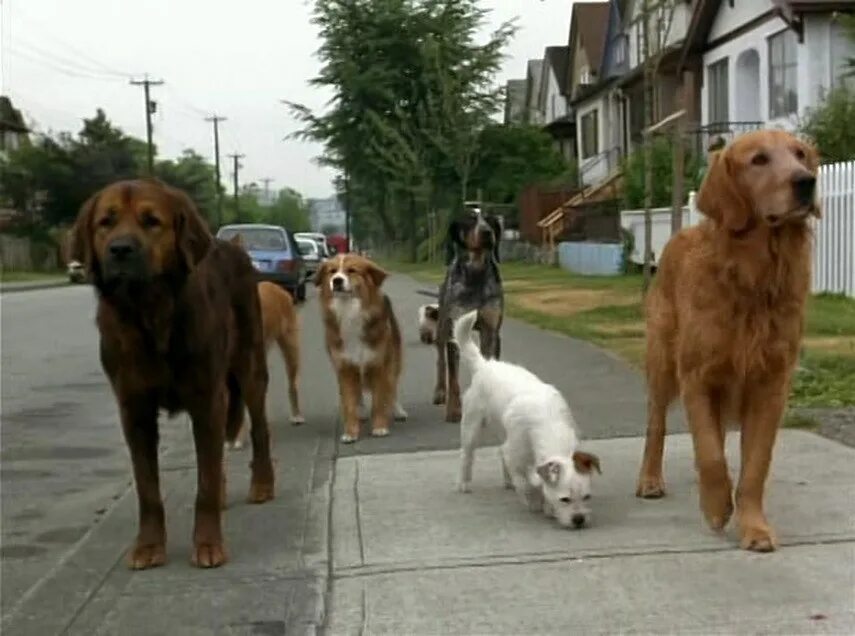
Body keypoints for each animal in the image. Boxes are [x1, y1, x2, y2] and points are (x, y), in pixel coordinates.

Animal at [73, 176, 276, 568]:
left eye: (152, 221)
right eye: (106, 222)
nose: (120, 250)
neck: (149, 313)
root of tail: (235, 246)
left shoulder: (206, 399)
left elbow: (205, 483)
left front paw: (209, 544)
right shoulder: (134, 410)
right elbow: (148, 489)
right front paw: (149, 546)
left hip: (249, 367)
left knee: (259, 429)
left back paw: (262, 484)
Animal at [314, 253, 408, 442]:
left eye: (351, 271)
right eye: (332, 271)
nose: (337, 281)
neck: (349, 310)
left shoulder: (379, 365)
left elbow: (380, 400)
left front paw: (380, 427)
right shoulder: (345, 368)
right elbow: (349, 402)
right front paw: (350, 432)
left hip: (394, 360)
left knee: (392, 386)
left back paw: (398, 410)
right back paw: (362, 412)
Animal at [454, 310, 600, 528]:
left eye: (587, 497)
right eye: (564, 499)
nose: (579, 520)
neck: (549, 425)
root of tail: (485, 365)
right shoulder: (516, 453)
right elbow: (525, 483)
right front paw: (534, 502)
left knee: (501, 452)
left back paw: (507, 482)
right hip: (472, 426)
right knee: (468, 455)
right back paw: (464, 483)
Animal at [640, 129, 820, 552]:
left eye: (800, 154)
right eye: (759, 160)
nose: (806, 182)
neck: (754, 277)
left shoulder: (771, 385)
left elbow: (754, 466)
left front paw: (754, 526)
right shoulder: (697, 376)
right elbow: (709, 453)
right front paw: (717, 506)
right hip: (662, 363)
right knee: (656, 425)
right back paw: (650, 480)